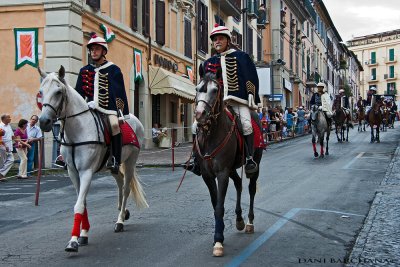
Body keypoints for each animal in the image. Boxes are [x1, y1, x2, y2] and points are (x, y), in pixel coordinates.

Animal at [36, 66, 147, 253]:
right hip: (113, 166)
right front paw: (83, 234)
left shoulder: (86, 172)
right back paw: (122, 211)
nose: (44, 122)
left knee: (125, 189)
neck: (77, 131)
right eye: (41, 92)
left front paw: (73, 241)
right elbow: (83, 202)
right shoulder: (73, 172)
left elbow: (79, 204)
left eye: (58, 92)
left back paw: (120, 221)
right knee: (120, 181)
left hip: (131, 161)